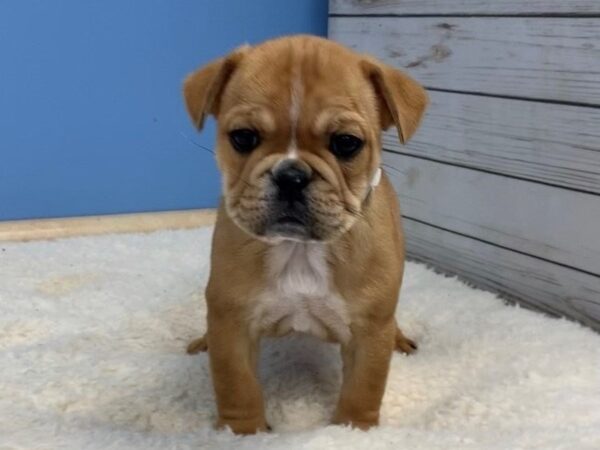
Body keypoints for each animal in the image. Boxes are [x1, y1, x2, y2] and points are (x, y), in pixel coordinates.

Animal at [183, 36, 426, 436]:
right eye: (243, 138)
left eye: (346, 143)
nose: (291, 175)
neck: (298, 249)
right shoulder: (232, 322)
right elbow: (237, 385)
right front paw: (244, 433)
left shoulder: (369, 331)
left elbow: (363, 388)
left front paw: (353, 430)